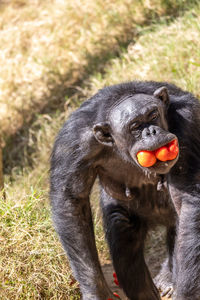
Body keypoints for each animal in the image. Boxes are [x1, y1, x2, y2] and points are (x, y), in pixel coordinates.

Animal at [49, 81, 200, 298]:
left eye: (153, 115)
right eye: (135, 126)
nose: (152, 132)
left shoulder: (187, 124)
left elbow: (187, 200)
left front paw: (185, 294)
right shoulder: (74, 142)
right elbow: (71, 202)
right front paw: (95, 292)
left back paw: (168, 278)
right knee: (123, 236)